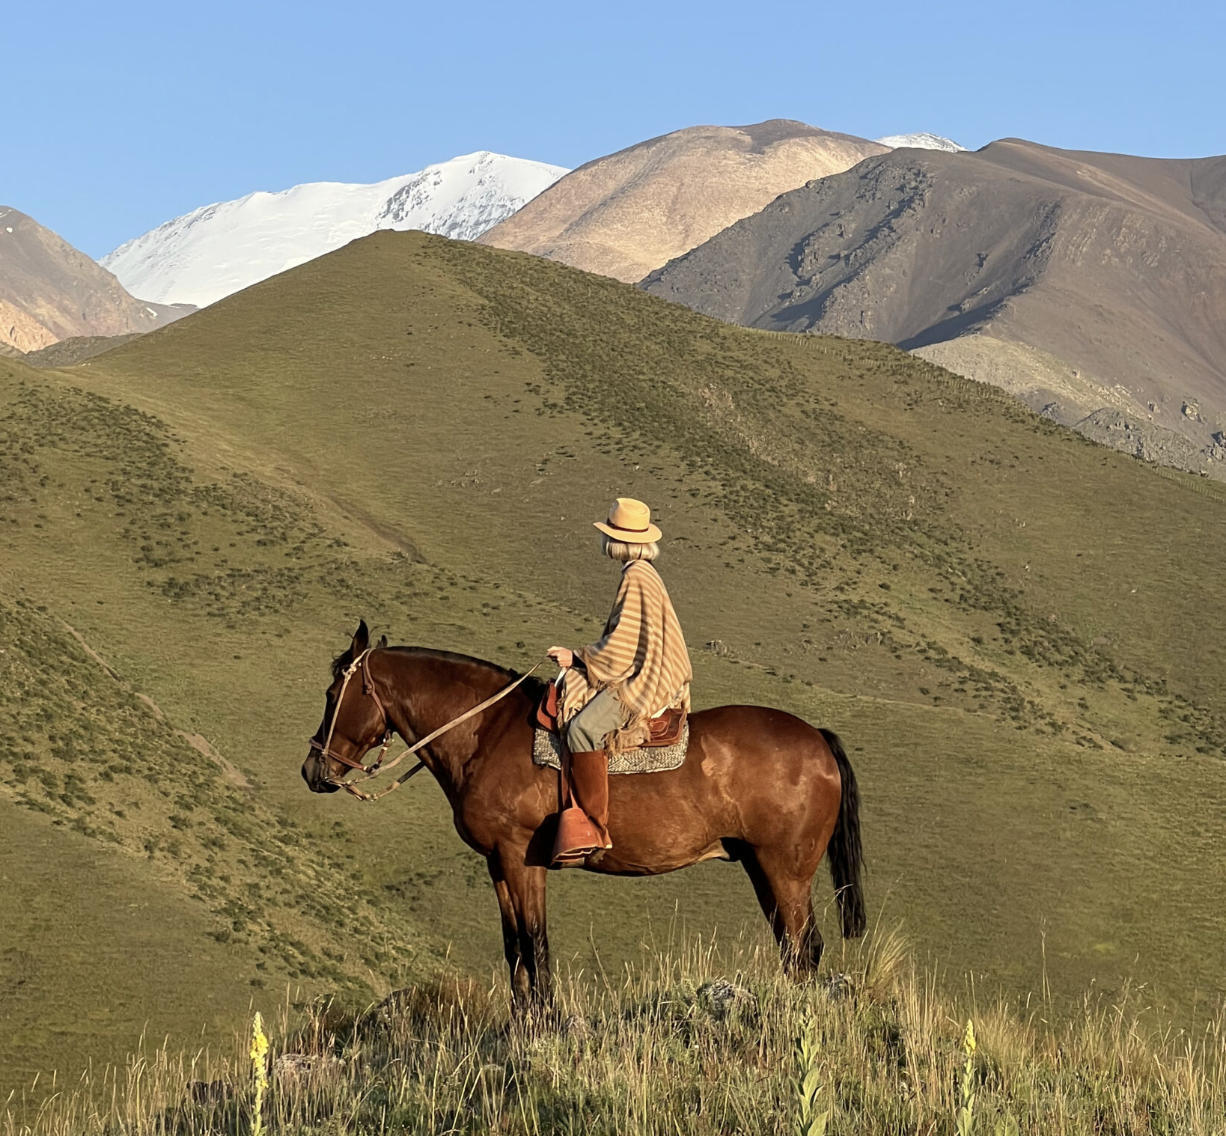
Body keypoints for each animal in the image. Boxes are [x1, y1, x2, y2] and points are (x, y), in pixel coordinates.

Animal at [302, 621, 865, 1008]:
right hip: (758, 865)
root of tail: (817, 739)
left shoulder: (520, 858)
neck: (487, 731)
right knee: (792, 948)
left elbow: (535, 941)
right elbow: (513, 945)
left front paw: (545, 1021)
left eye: (333, 695)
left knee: (804, 946)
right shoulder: (496, 863)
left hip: (785, 869)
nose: (313, 769)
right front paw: (522, 1019)